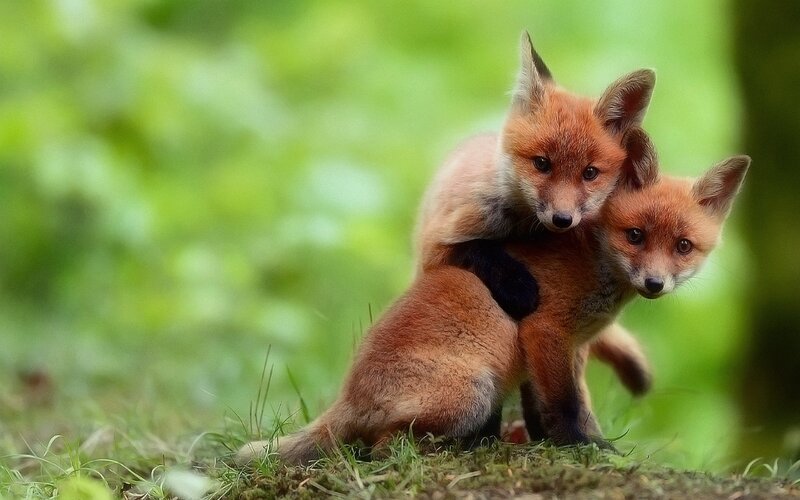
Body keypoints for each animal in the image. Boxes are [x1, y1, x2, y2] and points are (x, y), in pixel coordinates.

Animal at [236, 129, 750, 464]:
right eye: (636, 236)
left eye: (683, 246)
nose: (655, 284)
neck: (593, 261)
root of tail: (348, 394)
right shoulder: (545, 331)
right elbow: (565, 406)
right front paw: (581, 448)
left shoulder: (571, 347)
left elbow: (560, 405)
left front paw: (565, 442)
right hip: (474, 392)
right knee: (380, 448)